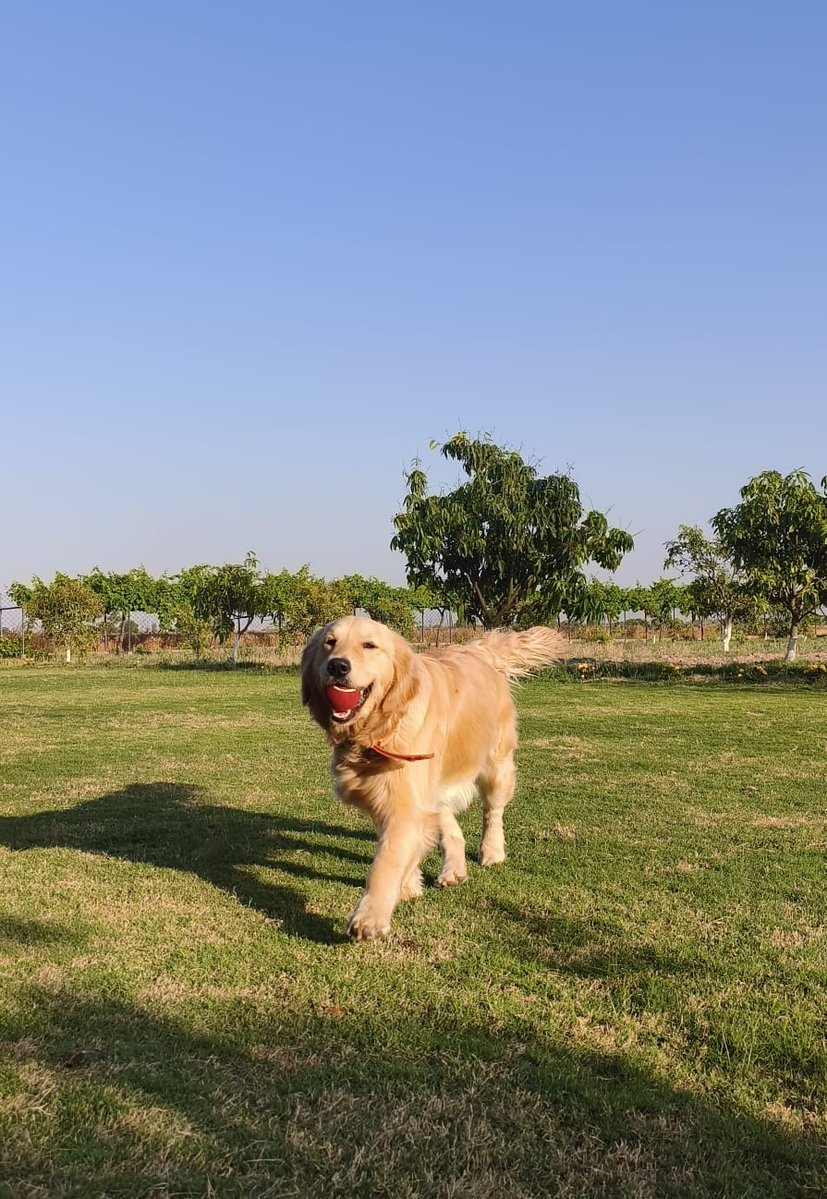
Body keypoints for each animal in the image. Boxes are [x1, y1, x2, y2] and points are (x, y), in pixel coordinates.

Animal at [301, 616, 563, 940]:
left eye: (369, 645)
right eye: (329, 642)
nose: (337, 666)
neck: (380, 728)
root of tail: (478, 649)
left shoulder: (403, 802)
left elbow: (386, 861)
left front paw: (370, 917)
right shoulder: (389, 795)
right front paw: (410, 886)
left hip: (495, 766)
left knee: (493, 811)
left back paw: (492, 851)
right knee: (451, 826)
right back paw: (453, 870)